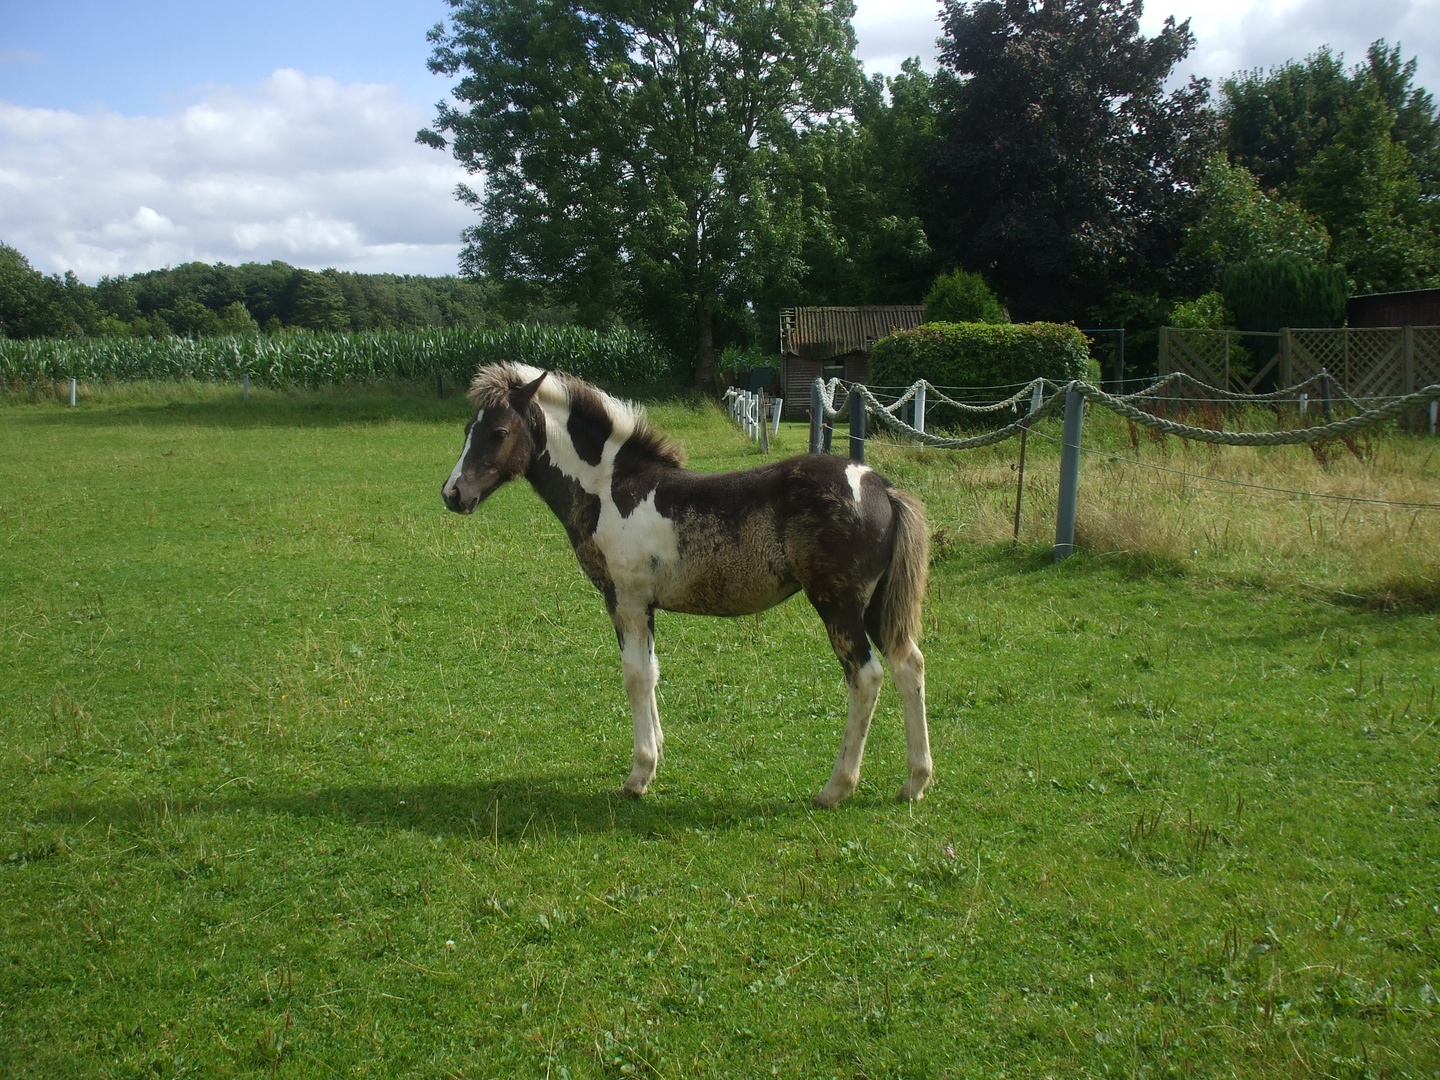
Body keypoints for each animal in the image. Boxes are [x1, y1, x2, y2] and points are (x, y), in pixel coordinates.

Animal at [440, 368, 933, 806]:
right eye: (467, 430)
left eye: (499, 432)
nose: (452, 493)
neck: (610, 489)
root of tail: (881, 487)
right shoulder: (645, 605)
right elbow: (652, 670)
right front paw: (657, 752)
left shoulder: (626, 600)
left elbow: (635, 676)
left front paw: (639, 775)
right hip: (875, 605)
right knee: (909, 664)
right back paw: (914, 782)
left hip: (839, 605)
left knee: (866, 676)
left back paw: (836, 788)